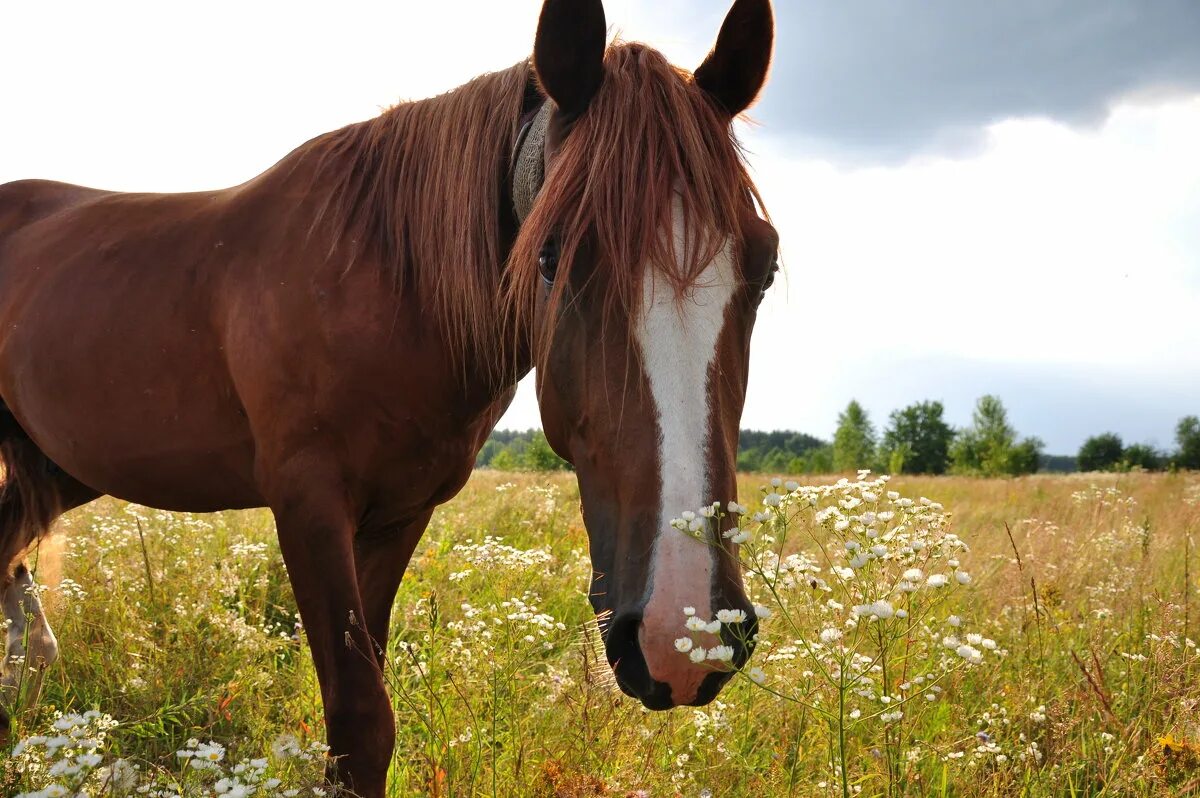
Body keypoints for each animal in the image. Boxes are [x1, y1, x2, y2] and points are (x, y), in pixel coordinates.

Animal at [0, 0, 777, 792]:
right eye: (551, 256)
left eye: (766, 265)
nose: (684, 634)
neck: (385, 282)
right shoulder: (308, 502)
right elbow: (360, 720)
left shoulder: (400, 512)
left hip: (61, 469)